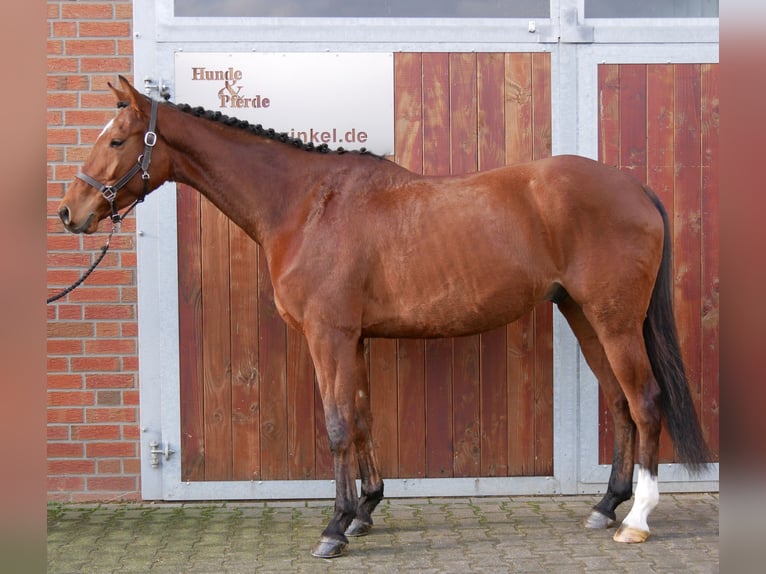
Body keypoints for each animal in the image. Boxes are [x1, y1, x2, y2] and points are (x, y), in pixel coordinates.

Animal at [57, 76, 712, 564]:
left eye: (117, 140)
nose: (71, 212)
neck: (305, 204)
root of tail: (636, 190)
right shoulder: (356, 340)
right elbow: (363, 418)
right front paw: (365, 510)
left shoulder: (329, 337)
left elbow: (337, 424)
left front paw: (333, 527)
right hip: (583, 316)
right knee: (620, 403)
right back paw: (605, 507)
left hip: (613, 320)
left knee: (645, 401)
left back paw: (638, 519)